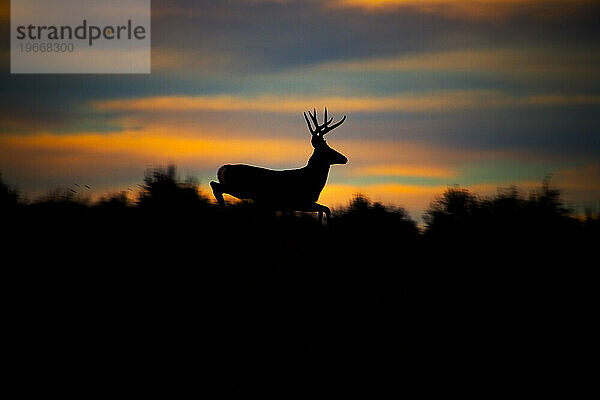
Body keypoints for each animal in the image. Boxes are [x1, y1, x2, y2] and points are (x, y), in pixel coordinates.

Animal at [212, 108, 346, 223]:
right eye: (327, 149)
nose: (345, 158)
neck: (312, 181)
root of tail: (223, 169)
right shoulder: (302, 201)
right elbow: (326, 209)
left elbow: (324, 209)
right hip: (239, 188)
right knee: (215, 186)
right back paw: (225, 211)